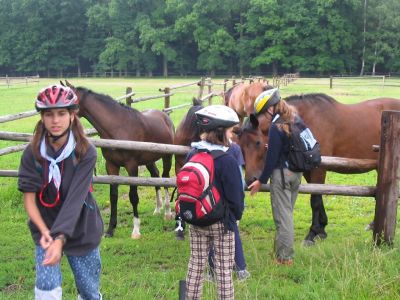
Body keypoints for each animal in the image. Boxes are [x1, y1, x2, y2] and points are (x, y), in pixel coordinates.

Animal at [63, 80, 174, 239]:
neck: (118, 127)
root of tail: (165, 117)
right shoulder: (111, 166)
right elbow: (113, 196)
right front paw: (110, 229)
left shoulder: (132, 166)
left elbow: (133, 196)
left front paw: (136, 230)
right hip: (149, 160)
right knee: (156, 176)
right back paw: (158, 209)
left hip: (167, 156)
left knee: (165, 178)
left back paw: (167, 212)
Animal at [234, 94, 400, 244]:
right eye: (241, 147)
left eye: (257, 143)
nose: (251, 180)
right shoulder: (309, 170)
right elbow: (318, 198)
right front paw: (321, 229)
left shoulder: (318, 168)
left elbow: (314, 199)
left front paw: (312, 233)